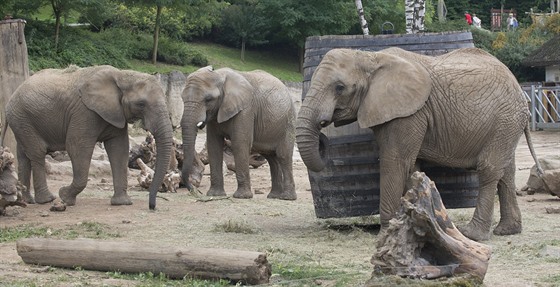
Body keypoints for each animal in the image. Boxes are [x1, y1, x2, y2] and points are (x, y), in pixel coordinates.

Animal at [1, 64, 174, 209]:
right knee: (37, 153)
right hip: (23, 118)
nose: (152, 206)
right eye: (141, 104)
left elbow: (119, 149)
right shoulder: (84, 112)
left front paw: (122, 203)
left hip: (22, 121)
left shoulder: (115, 114)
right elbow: (77, 147)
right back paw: (47, 200)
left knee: (24, 155)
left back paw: (27, 201)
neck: (122, 75)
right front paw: (64, 197)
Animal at [183, 66, 298, 201]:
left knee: (283, 155)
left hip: (288, 123)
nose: (194, 191)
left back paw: (287, 197)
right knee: (271, 159)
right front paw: (214, 195)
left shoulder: (246, 110)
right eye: (182, 98)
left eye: (208, 99)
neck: (219, 75)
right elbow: (214, 146)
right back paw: (273, 196)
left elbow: (240, 144)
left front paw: (242, 196)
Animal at [296, 47, 540, 243]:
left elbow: (394, 162)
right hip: (507, 125)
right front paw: (413, 226)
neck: (369, 57)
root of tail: (521, 91)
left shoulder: (408, 113)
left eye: (339, 87)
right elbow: (411, 168)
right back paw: (507, 231)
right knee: (506, 171)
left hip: (505, 120)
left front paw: (386, 233)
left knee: (489, 169)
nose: (323, 135)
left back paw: (473, 234)